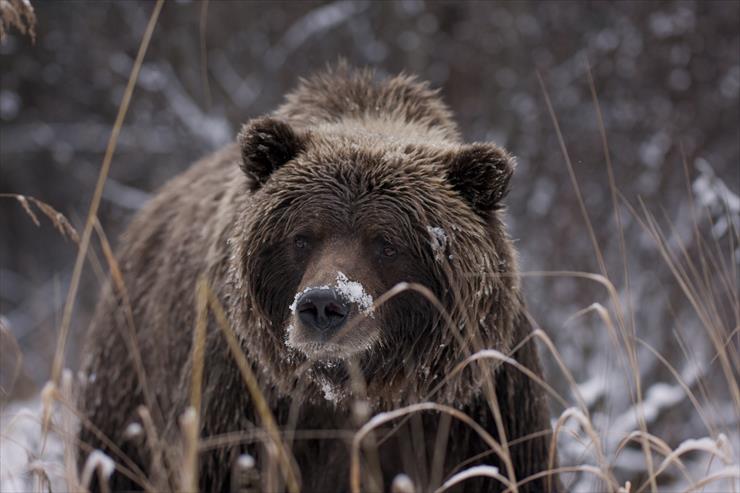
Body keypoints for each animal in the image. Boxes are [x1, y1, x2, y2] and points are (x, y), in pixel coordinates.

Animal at [78, 66, 556, 492]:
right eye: (303, 237)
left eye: (387, 243)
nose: (325, 305)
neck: (362, 393)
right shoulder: (242, 399)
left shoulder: (478, 409)